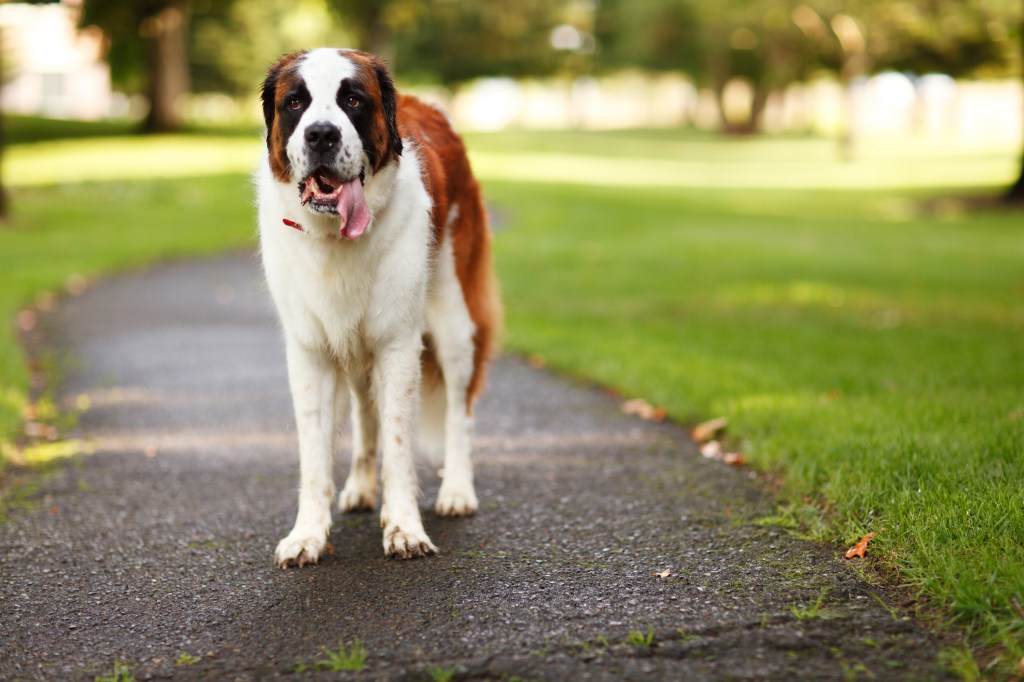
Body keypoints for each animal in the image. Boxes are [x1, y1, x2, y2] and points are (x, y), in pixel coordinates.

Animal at [258, 49, 501, 561]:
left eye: (352, 100)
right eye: (295, 102)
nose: (321, 134)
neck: (335, 240)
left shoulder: (397, 347)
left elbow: (399, 440)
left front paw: (405, 527)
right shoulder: (311, 353)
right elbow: (315, 453)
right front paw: (308, 533)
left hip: (453, 323)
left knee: (459, 411)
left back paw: (457, 492)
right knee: (365, 417)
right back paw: (361, 487)